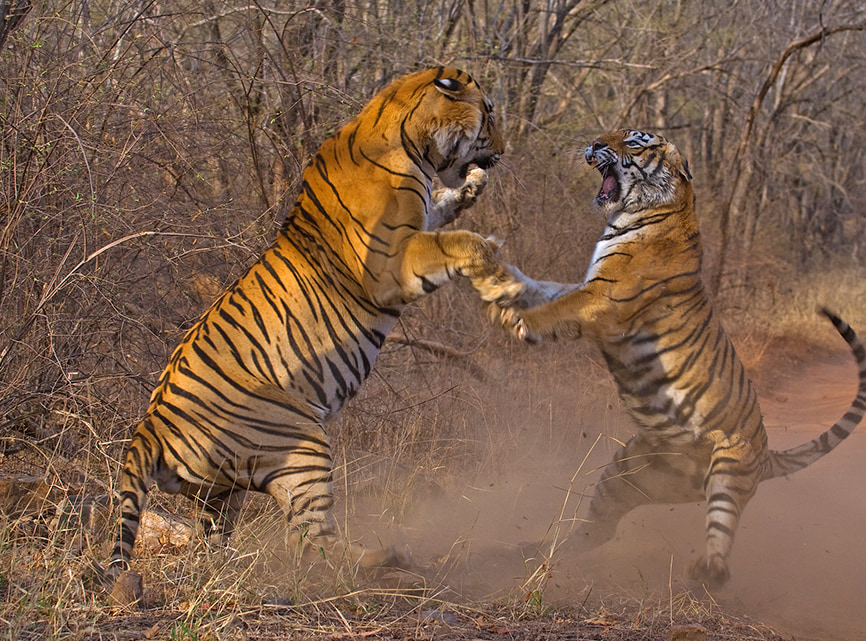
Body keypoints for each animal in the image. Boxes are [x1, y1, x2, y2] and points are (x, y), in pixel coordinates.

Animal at [107, 67, 525, 584]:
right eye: (489, 112)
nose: (503, 150)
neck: (409, 137)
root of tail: (150, 427)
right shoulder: (391, 266)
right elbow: (463, 242)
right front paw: (502, 284)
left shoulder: (419, 223)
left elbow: (445, 209)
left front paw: (471, 188)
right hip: (303, 444)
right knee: (307, 545)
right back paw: (389, 558)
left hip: (223, 493)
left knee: (217, 544)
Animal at [494, 129, 866, 587]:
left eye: (634, 142)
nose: (594, 142)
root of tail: (767, 456)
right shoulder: (586, 288)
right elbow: (543, 288)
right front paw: (500, 281)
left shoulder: (601, 298)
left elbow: (554, 306)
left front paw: (515, 318)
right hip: (626, 472)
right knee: (597, 529)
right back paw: (540, 551)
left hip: (727, 472)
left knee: (720, 538)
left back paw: (707, 571)